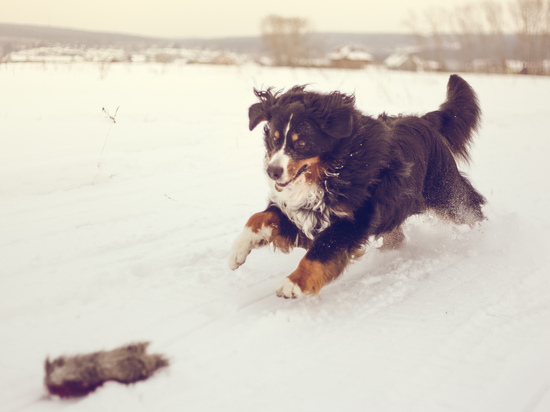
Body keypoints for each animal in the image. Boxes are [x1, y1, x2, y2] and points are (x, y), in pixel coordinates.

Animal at [230, 75, 488, 300]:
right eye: (274, 139)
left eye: (301, 143)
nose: (272, 171)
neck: (331, 170)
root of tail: (425, 120)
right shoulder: (304, 211)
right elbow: (259, 217)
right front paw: (238, 251)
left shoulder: (353, 217)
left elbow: (322, 249)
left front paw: (293, 284)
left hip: (445, 192)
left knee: (470, 211)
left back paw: (483, 236)